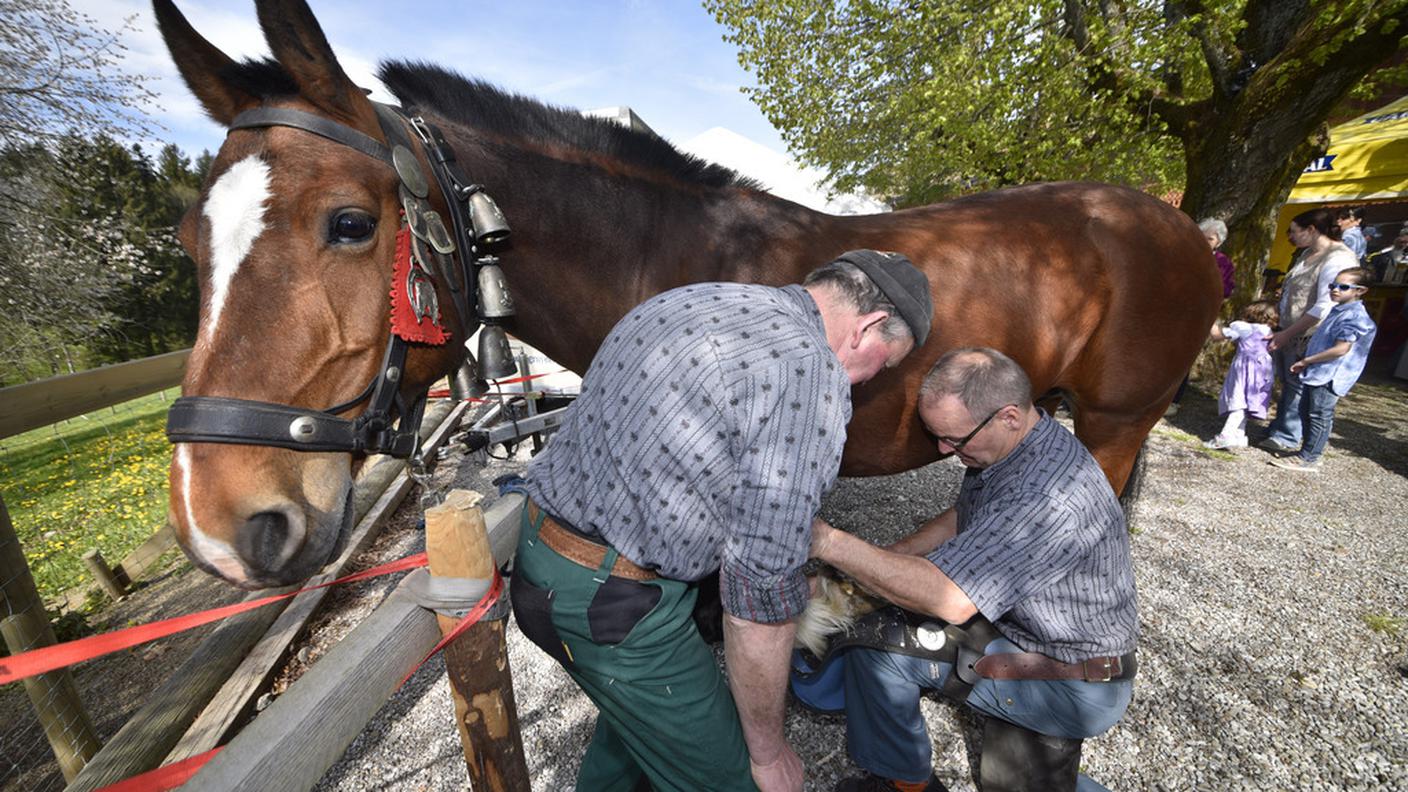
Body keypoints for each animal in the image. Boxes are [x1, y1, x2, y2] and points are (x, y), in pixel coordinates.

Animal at [154, 0, 1222, 586]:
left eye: (348, 222)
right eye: (188, 239)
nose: (222, 522)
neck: (658, 262)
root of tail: (1182, 227)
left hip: (1116, 419)